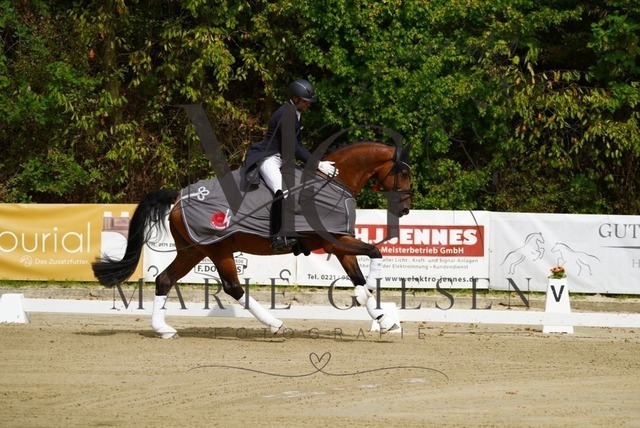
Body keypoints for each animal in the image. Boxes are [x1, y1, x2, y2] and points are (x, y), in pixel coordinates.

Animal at [92, 142, 412, 338]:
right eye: (406, 173)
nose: (406, 209)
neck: (334, 183)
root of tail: (180, 195)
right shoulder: (335, 241)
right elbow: (374, 255)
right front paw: (369, 299)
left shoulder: (340, 240)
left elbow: (359, 273)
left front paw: (384, 319)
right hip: (216, 248)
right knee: (232, 287)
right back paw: (276, 325)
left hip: (193, 250)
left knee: (165, 280)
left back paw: (164, 330)